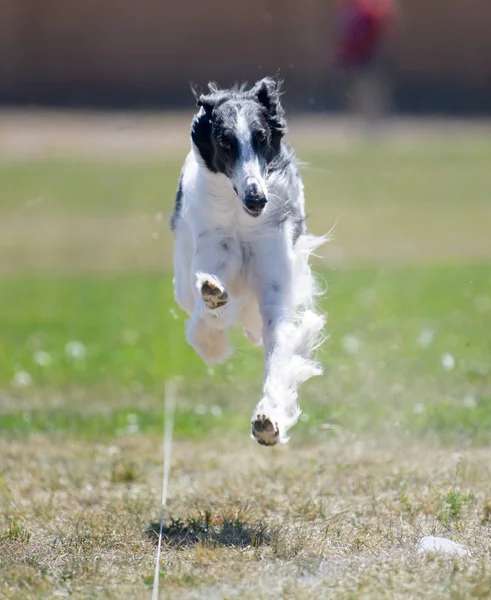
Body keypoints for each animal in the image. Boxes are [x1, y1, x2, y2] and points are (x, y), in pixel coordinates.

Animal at [170, 77, 326, 446]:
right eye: (225, 141)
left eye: (261, 137)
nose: (256, 198)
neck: (241, 220)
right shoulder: (213, 251)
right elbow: (208, 309)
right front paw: (213, 308)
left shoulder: (275, 285)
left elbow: (279, 351)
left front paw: (269, 418)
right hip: (183, 277)